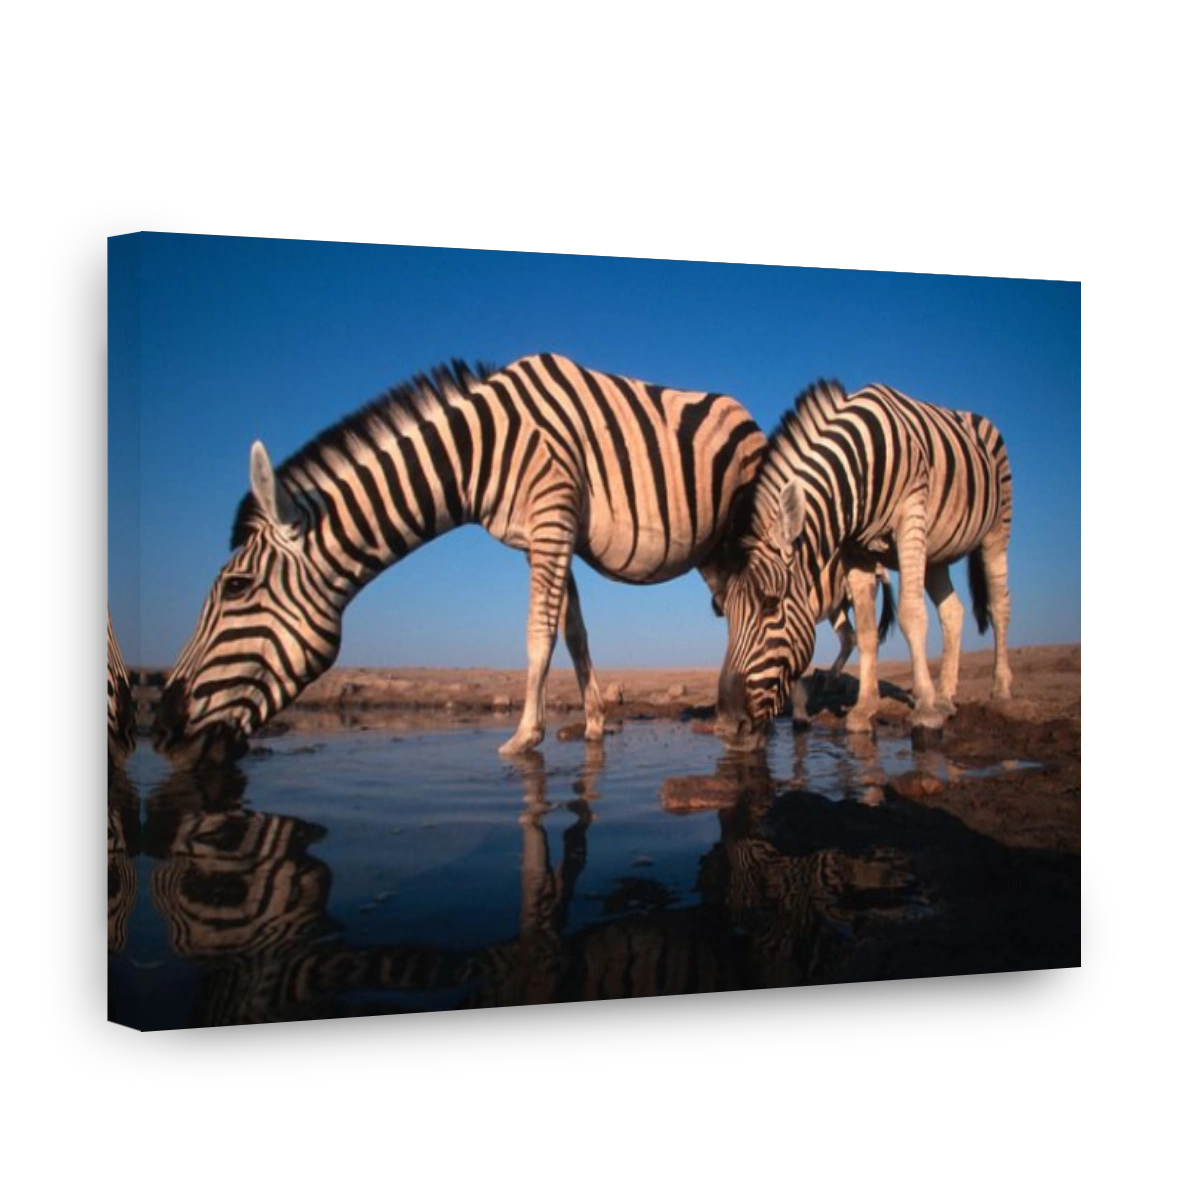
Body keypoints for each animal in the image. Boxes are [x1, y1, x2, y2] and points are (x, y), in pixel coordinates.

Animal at [153, 353, 768, 768]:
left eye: (236, 587)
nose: (162, 730)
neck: (480, 449)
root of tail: (744, 410)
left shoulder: (552, 516)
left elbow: (537, 634)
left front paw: (524, 736)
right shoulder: (548, 536)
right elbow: (573, 633)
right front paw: (593, 723)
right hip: (712, 550)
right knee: (737, 607)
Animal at [714, 378, 1013, 746]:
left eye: (770, 604)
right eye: (725, 613)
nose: (728, 726)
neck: (860, 465)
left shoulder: (911, 511)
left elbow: (911, 614)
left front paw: (925, 711)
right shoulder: (855, 549)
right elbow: (868, 631)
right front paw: (863, 711)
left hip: (996, 528)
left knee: (999, 605)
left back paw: (998, 690)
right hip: (937, 552)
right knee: (952, 612)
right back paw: (945, 696)